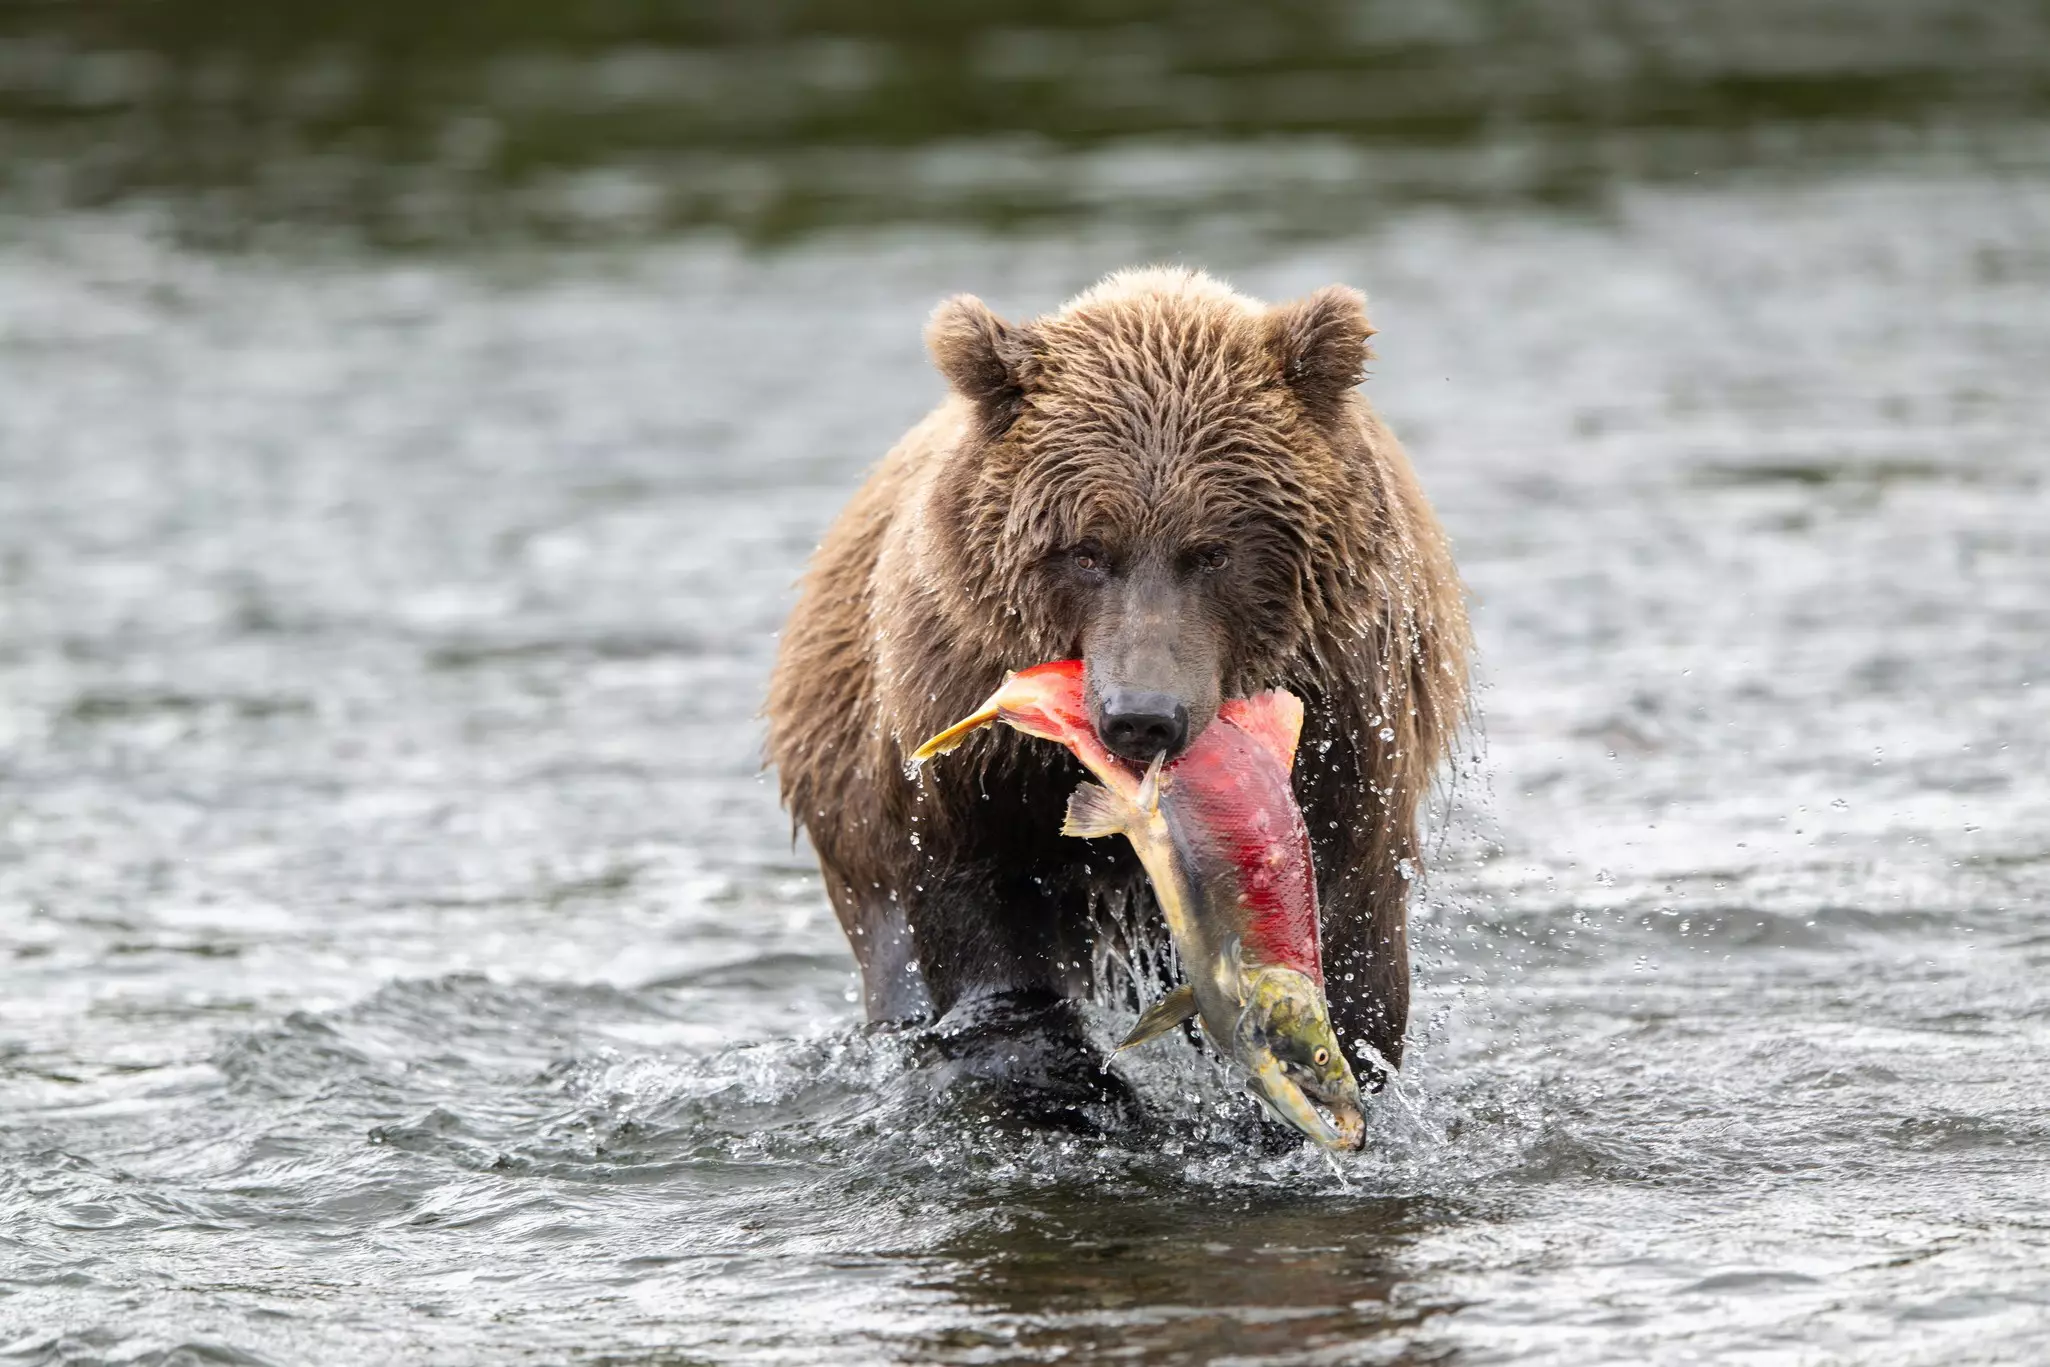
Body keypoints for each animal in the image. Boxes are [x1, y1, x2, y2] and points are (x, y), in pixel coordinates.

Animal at [765, 266, 1468, 1096]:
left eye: (1213, 550)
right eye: (1086, 550)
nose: (1142, 714)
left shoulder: (1347, 735)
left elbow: (1354, 949)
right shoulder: (971, 770)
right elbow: (988, 956)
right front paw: (1049, 1069)